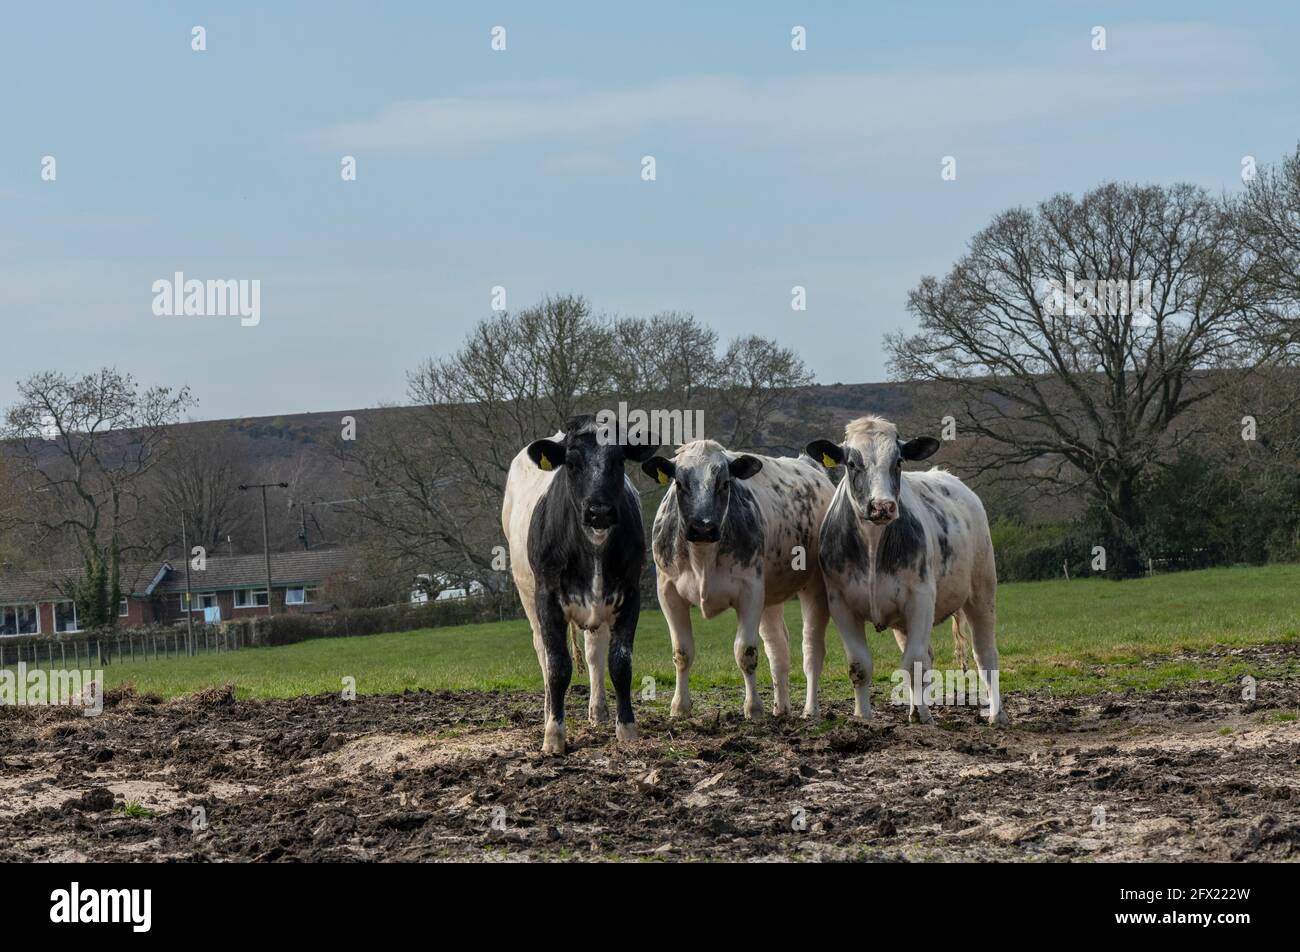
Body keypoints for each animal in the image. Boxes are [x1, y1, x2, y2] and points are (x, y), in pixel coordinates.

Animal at [499, 413, 655, 754]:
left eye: (619, 460)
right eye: (570, 463)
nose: (600, 511)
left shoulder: (630, 593)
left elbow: (620, 663)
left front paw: (627, 730)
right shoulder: (547, 598)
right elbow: (558, 666)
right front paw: (554, 735)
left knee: (595, 651)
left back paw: (599, 711)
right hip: (527, 594)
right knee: (542, 651)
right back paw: (548, 711)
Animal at [637, 442, 832, 717]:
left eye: (724, 483)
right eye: (679, 483)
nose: (703, 528)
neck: (703, 557)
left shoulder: (750, 592)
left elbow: (745, 653)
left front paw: (753, 708)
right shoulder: (668, 592)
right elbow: (682, 652)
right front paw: (679, 707)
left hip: (815, 585)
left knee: (812, 647)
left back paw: (810, 709)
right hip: (770, 597)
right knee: (777, 647)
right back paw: (781, 708)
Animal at [800, 413, 1003, 723]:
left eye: (898, 462)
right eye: (852, 463)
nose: (882, 506)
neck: (873, 544)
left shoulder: (920, 598)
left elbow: (914, 662)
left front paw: (919, 716)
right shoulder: (841, 603)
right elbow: (860, 665)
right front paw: (864, 717)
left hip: (982, 589)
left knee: (985, 654)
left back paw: (995, 714)